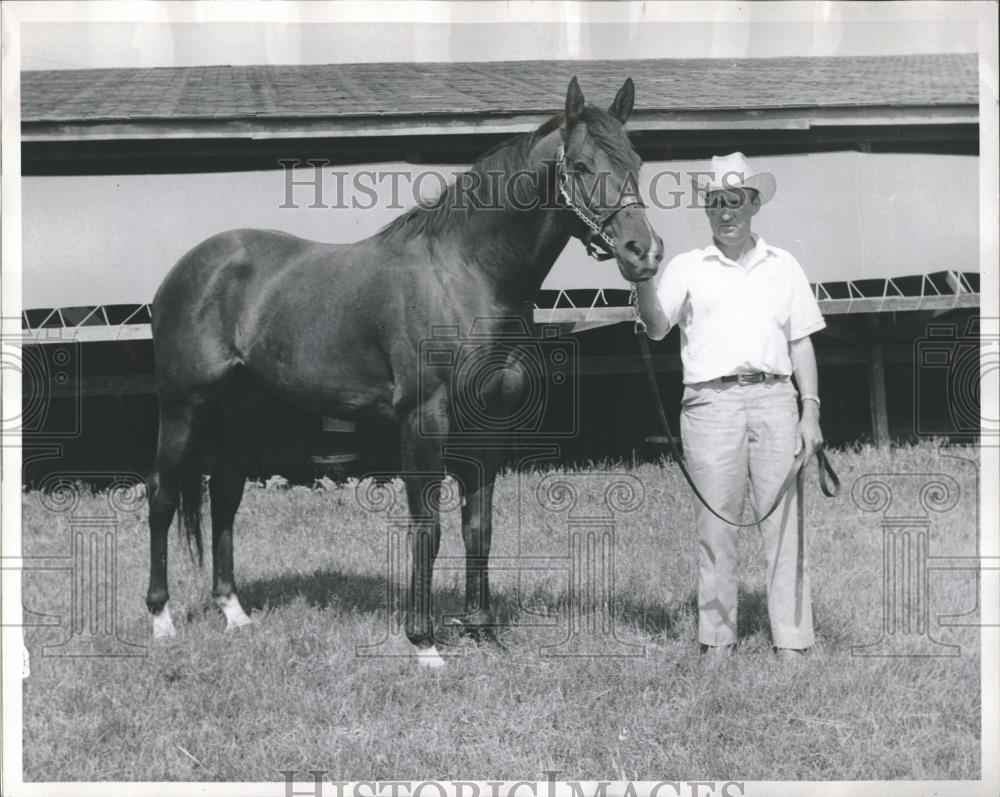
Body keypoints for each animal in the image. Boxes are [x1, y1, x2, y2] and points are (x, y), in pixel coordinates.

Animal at [146, 77, 664, 664]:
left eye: (637, 161)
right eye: (579, 165)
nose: (643, 253)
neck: (465, 276)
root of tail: (193, 265)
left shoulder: (490, 425)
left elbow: (479, 525)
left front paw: (482, 631)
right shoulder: (423, 420)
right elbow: (428, 528)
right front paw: (424, 642)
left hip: (245, 407)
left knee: (225, 492)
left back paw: (233, 611)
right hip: (183, 404)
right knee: (162, 495)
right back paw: (161, 619)